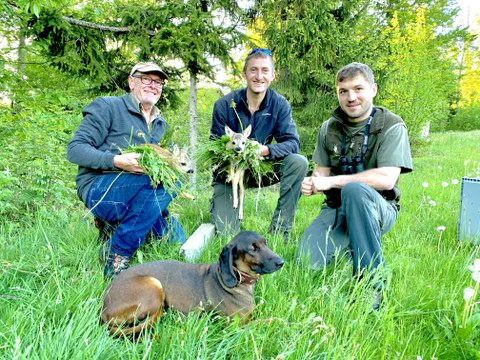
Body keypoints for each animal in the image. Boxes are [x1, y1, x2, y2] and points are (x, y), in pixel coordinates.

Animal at [100, 231, 282, 334]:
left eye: (265, 243)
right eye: (252, 249)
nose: (281, 262)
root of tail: (103, 309)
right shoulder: (236, 327)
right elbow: (270, 320)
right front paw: (283, 323)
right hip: (154, 286)